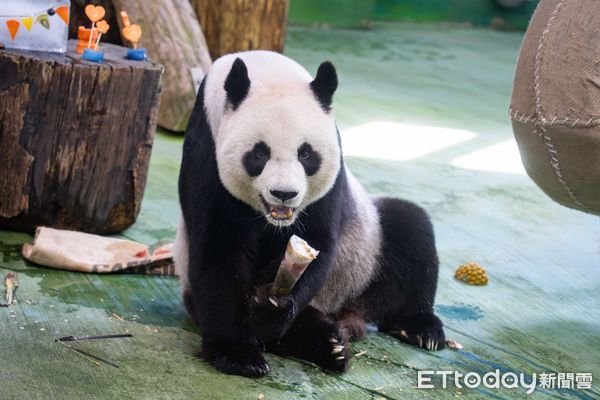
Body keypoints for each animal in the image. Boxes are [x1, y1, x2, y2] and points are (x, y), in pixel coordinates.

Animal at [175, 50, 446, 378]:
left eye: (306, 154)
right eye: (260, 153)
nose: (284, 193)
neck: (268, 69)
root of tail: (350, 313)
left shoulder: (331, 180)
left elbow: (317, 240)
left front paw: (268, 309)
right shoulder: (206, 149)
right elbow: (220, 249)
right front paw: (238, 354)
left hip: (367, 251)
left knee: (410, 229)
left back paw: (418, 329)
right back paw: (327, 343)